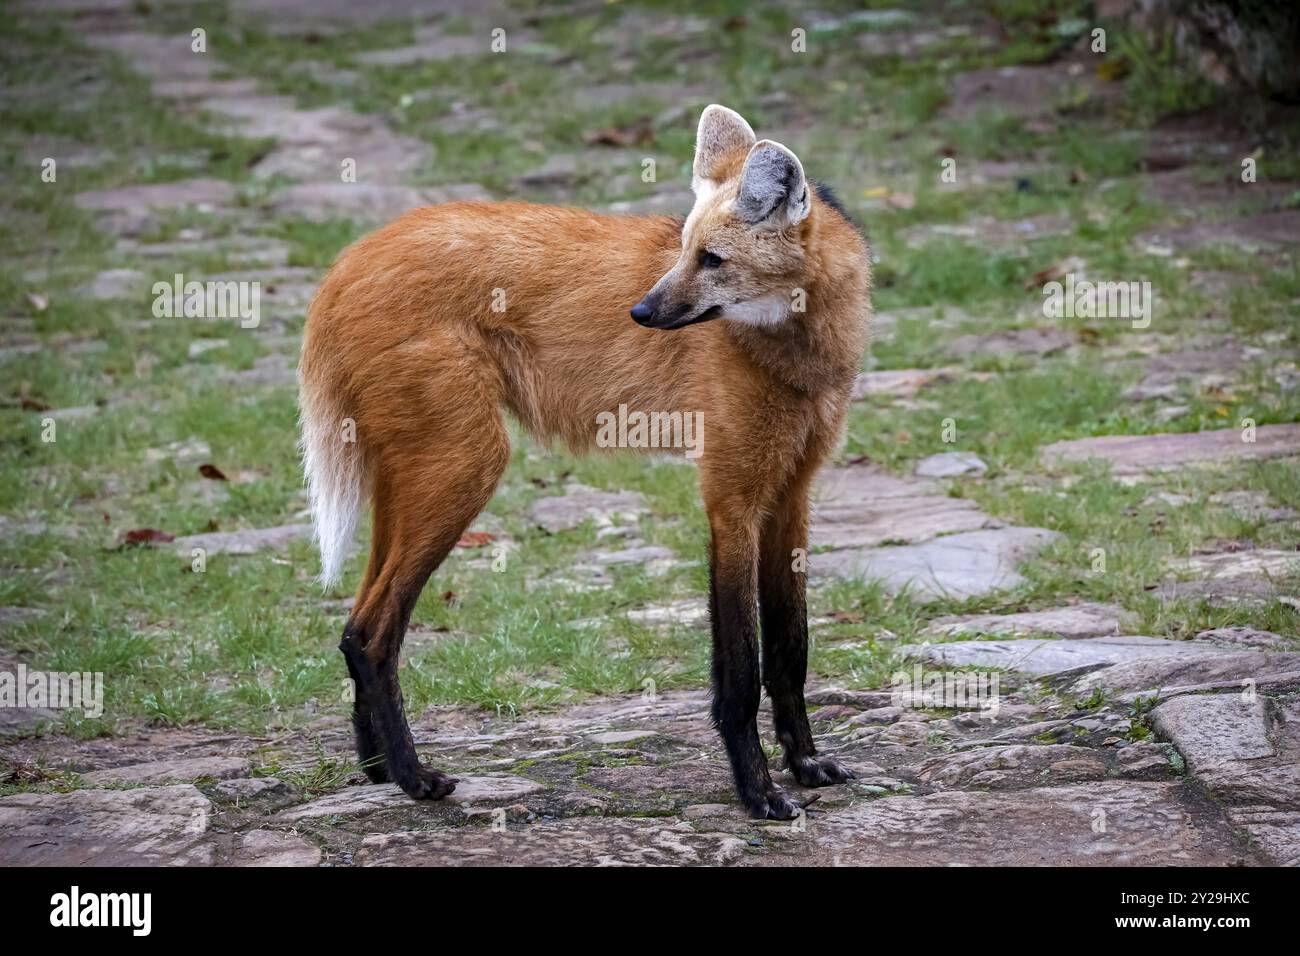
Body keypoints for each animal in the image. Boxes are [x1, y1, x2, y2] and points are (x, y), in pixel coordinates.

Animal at [301, 106, 873, 822]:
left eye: (711, 259)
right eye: (684, 251)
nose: (642, 311)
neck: (796, 348)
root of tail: (348, 260)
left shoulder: (791, 496)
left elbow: (791, 651)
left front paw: (805, 766)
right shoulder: (731, 501)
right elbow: (742, 670)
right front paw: (760, 793)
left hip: (415, 470)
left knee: (354, 626)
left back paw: (376, 769)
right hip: (467, 464)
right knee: (374, 633)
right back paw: (415, 779)